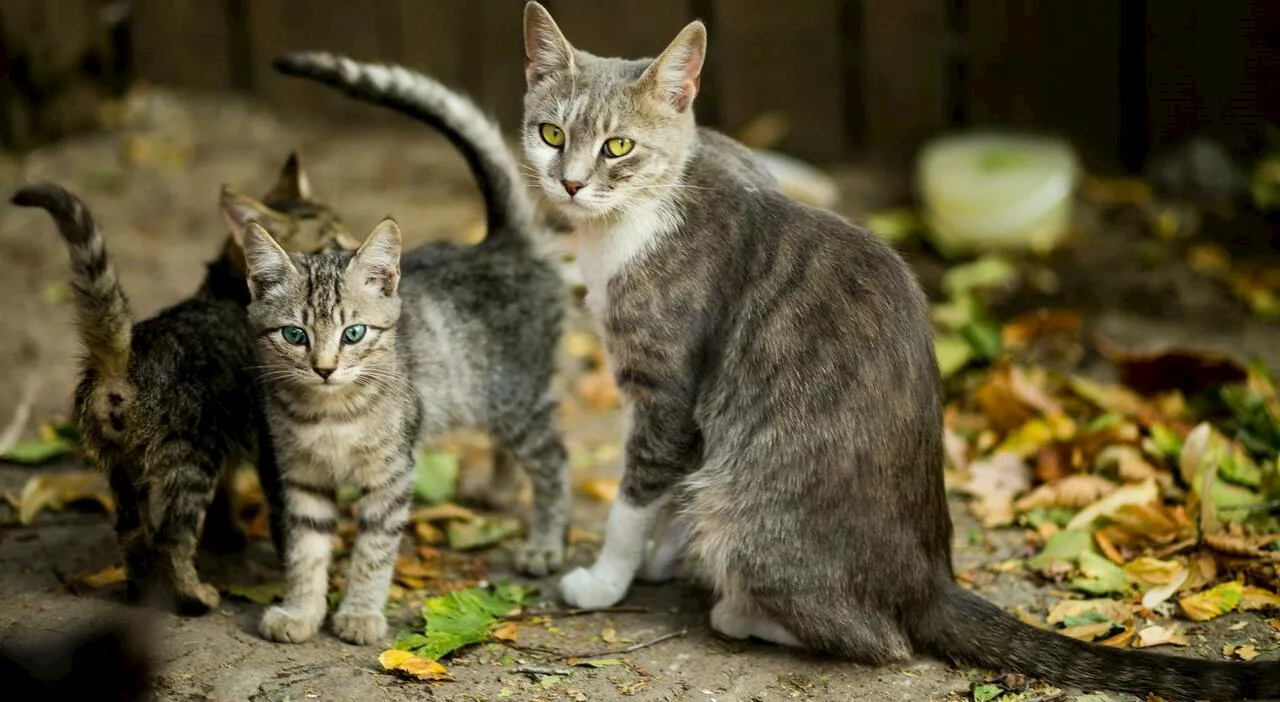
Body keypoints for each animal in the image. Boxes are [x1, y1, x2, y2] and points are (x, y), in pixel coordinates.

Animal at [11, 156, 350, 617]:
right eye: (331, 241)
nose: (357, 247)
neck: (227, 288)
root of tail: (125, 357)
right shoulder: (271, 444)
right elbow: (287, 520)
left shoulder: (233, 434)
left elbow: (228, 490)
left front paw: (227, 536)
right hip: (190, 457)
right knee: (171, 537)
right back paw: (194, 597)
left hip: (120, 466)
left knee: (133, 534)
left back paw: (139, 592)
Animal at [243, 56, 570, 648]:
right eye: (295, 336)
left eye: (353, 333)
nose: (324, 369)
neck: (330, 413)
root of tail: (500, 243)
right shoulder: (301, 477)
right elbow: (306, 550)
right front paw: (301, 610)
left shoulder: (393, 474)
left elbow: (374, 551)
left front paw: (359, 613)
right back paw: (498, 491)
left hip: (516, 398)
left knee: (554, 460)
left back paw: (543, 544)